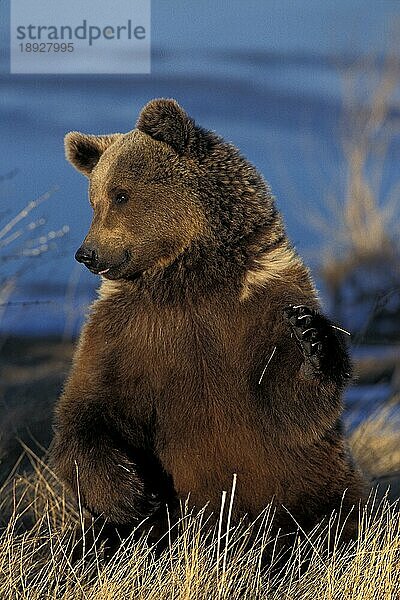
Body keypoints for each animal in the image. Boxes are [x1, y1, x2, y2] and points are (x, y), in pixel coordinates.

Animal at [51, 97, 368, 544]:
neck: (189, 281)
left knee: (345, 514)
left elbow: (289, 407)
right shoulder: (126, 328)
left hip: (316, 481)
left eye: (121, 195)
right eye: (94, 199)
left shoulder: (260, 301)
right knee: (96, 540)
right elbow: (91, 406)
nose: (87, 253)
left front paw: (311, 338)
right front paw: (132, 495)